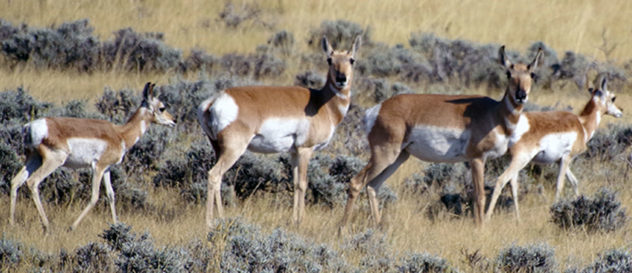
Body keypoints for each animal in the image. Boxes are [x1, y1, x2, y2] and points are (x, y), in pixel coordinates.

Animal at [8, 83, 175, 232]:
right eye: (162, 107)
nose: (174, 121)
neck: (120, 134)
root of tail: (29, 126)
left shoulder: (107, 169)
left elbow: (111, 195)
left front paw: (117, 226)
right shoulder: (98, 167)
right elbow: (95, 196)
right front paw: (71, 227)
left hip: (33, 159)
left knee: (16, 181)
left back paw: (12, 223)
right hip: (54, 161)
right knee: (32, 182)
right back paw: (47, 226)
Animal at [198, 36, 360, 227]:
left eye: (351, 60)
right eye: (329, 60)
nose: (342, 79)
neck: (322, 103)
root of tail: (215, 100)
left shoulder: (294, 152)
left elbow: (295, 182)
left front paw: (294, 219)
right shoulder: (305, 150)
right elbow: (303, 183)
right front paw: (301, 221)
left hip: (218, 149)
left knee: (219, 178)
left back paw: (222, 218)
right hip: (234, 149)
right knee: (214, 175)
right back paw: (210, 222)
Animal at [338, 45, 540, 228]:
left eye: (531, 74)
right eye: (508, 73)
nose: (521, 95)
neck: (495, 113)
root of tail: (378, 109)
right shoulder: (477, 159)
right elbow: (480, 195)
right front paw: (480, 229)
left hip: (398, 157)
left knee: (373, 185)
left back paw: (378, 227)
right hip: (385, 155)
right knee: (356, 183)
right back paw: (343, 229)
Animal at [484, 75, 624, 221]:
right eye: (613, 97)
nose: (621, 111)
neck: (582, 125)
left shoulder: (559, 161)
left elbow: (574, 181)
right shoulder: (566, 158)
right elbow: (559, 185)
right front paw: (556, 208)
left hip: (514, 161)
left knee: (513, 184)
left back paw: (518, 219)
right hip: (521, 159)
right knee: (501, 180)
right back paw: (487, 218)